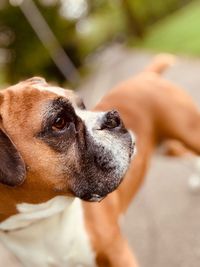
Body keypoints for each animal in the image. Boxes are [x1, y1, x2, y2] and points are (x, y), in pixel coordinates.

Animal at [0, 55, 200, 267]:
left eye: (81, 105)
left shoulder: (118, 254)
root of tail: (146, 76)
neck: (40, 221)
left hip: (190, 132)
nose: (114, 117)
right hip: (166, 146)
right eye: (59, 122)